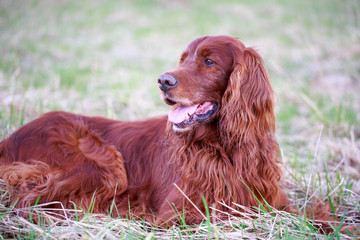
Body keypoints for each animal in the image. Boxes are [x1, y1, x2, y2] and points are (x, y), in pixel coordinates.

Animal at [0, 35, 318, 225]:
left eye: (209, 61)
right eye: (183, 59)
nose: (164, 81)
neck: (223, 148)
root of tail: (9, 139)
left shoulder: (271, 201)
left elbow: (318, 215)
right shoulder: (180, 213)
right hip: (102, 164)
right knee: (28, 201)